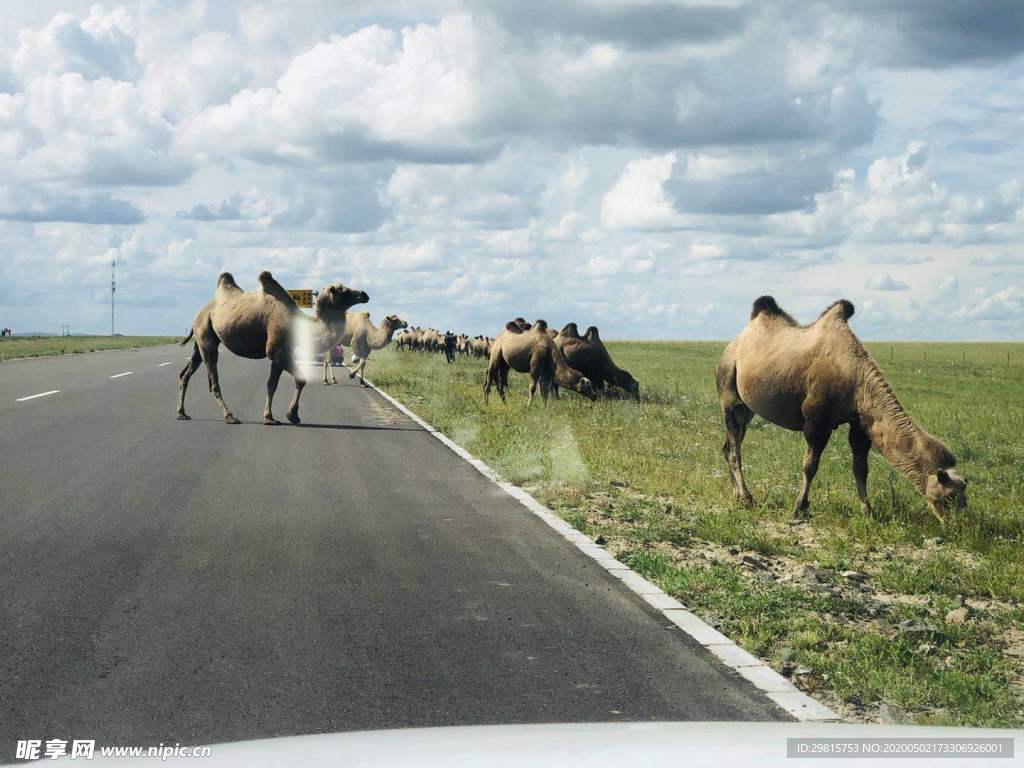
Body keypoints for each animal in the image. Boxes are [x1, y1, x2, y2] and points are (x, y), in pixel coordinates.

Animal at [177, 272, 368, 428]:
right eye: (343, 290)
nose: (364, 294)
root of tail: (200, 313)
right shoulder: (277, 352)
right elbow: (300, 379)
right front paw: (291, 415)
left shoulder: (281, 354)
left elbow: (272, 385)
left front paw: (271, 417)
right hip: (206, 337)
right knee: (213, 381)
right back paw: (229, 416)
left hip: (201, 340)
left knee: (186, 373)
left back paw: (181, 413)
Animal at [716, 296, 962, 528]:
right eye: (949, 497)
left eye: (963, 497)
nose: (958, 526)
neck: (856, 378)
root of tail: (732, 346)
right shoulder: (816, 421)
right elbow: (810, 465)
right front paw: (800, 508)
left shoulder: (860, 423)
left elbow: (860, 468)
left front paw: (867, 511)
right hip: (729, 392)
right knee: (734, 450)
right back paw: (747, 499)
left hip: (747, 409)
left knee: (728, 446)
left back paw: (737, 495)